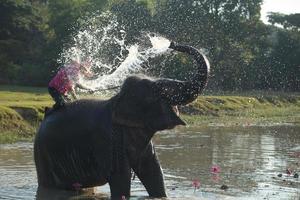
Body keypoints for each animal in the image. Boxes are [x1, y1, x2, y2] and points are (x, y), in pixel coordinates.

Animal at [34, 41, 210, 198]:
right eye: (154, 92)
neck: (117, 99)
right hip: (45, 158)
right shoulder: (108, 139)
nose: (171, 43)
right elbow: (120, 176)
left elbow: (153, 171)